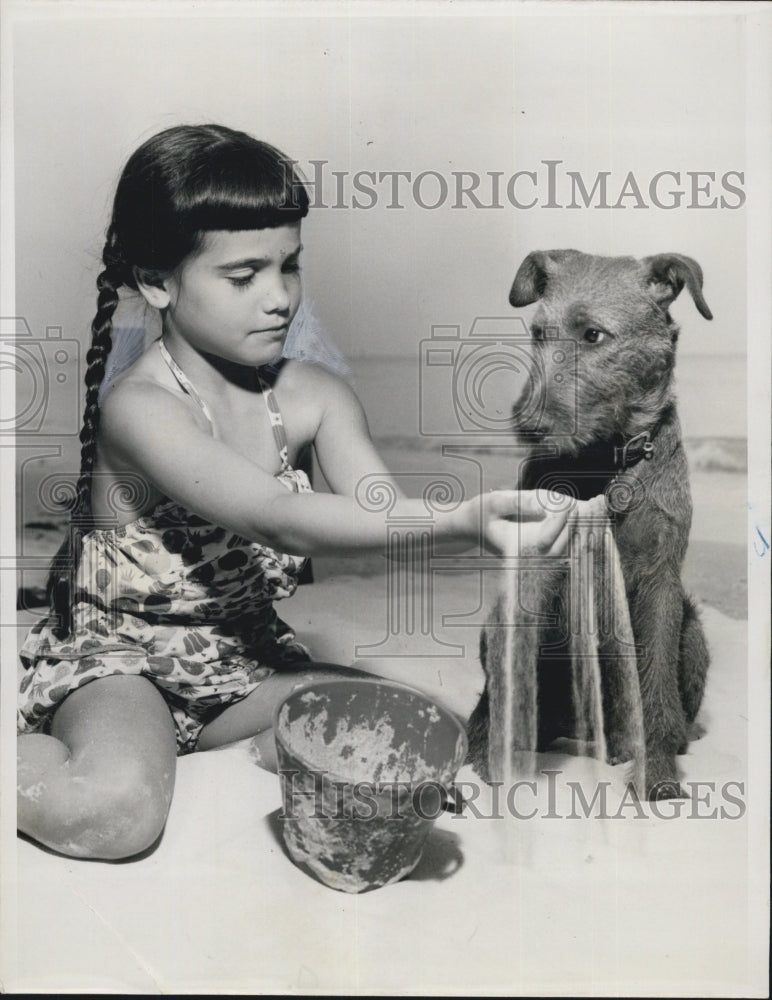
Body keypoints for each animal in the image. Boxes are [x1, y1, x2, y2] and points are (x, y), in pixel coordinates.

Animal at [464, 254, 712, 800]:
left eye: (593, 335)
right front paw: (491, 758)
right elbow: (510, 678)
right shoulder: (535, 573)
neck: (606, 462)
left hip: (692, 629)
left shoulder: (660, 583)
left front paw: (657, 773)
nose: (529, 426)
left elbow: (655, 686)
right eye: (538, 333)